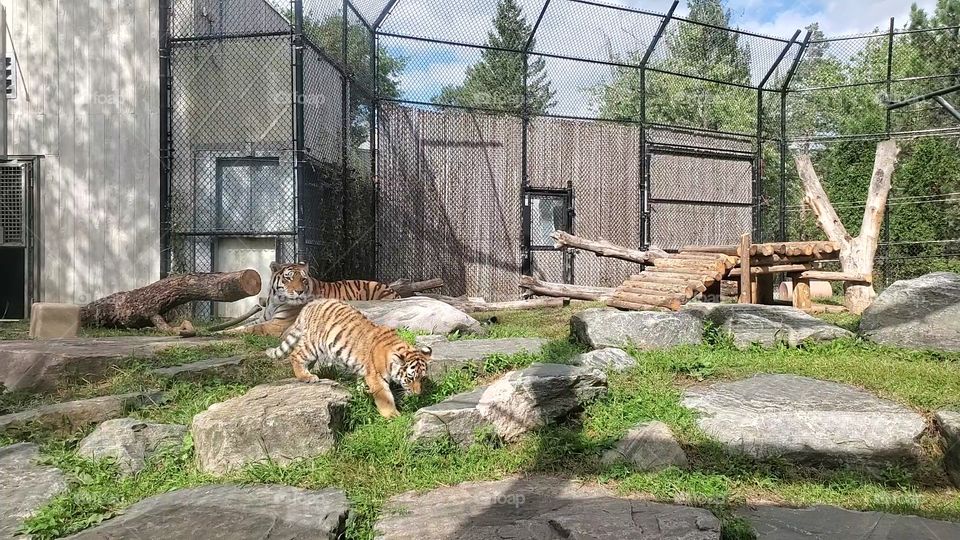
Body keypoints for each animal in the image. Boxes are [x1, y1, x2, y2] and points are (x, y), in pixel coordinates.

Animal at [223, 262, 400, 336]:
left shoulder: (277, 325)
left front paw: (227, 332)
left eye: (303, 279)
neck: (274, 300)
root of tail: (394, 292)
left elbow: (250, 329)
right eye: (288, 278)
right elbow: (245, 324)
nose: (300, 291)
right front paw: (225, 329)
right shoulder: (264, 318)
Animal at [266, 298, 432, 418]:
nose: (418, 394)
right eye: (410, 378)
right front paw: (393, 415)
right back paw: (306, 376)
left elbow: (361, 384)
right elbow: (385, 398)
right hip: (313, 345)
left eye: (422, 378)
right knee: (296, 355)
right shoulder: (376, 377)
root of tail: (311, 303)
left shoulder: (364, 372)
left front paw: (362, 394)